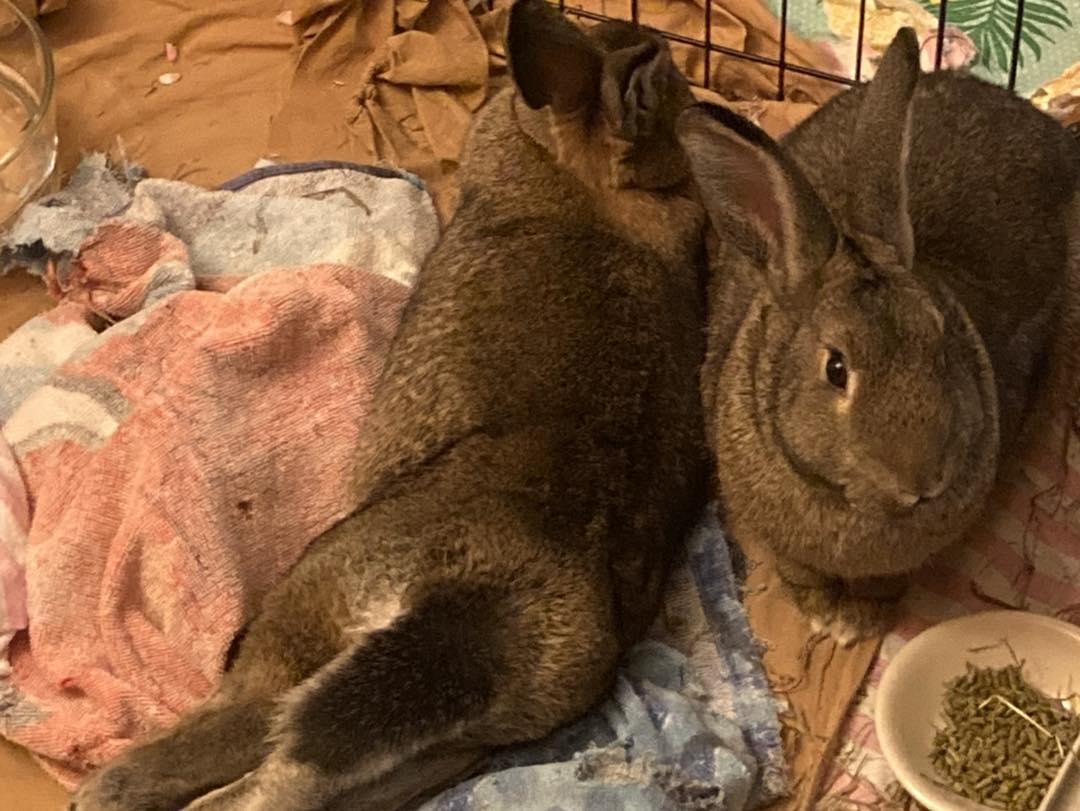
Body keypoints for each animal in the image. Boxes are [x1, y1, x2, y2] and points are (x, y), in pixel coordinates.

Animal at [69, 2, 710, 810]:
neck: (587, 179)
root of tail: (468, 617)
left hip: (308, 610)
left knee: (247, 729)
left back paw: (115, 785)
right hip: (461, 739)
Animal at [675, 27, 1080, 644]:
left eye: (942, 340)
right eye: (836, 369)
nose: (923, 480)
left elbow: (886, 582)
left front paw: (858, 620)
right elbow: (800, 571)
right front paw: (824, 614)